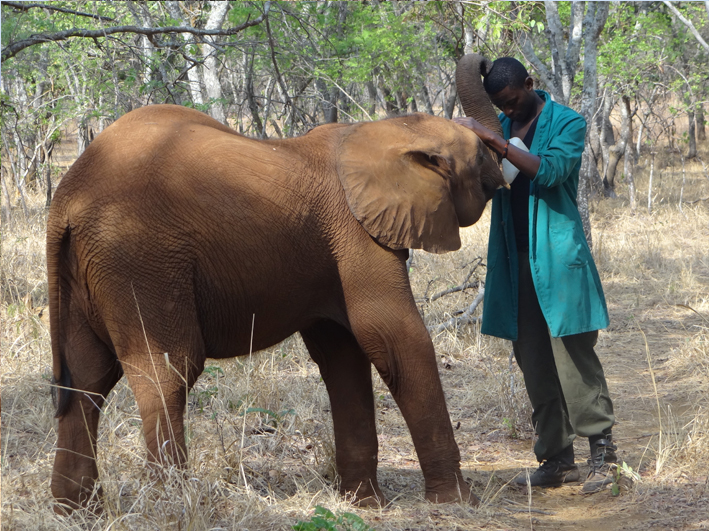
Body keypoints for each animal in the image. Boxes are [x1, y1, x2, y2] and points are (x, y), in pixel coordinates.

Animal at [48, 55, 504, 516]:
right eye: (480, 157)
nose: (487, 64)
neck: (382, 130)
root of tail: (67, 199)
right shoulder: (357, 236)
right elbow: (393, 336)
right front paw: (456, 502)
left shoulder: (330, 250)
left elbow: (343, 353)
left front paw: (364, 504)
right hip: (141, 258)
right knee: (166, 372)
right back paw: (173, 504)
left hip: (91, 270)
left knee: (86, 379)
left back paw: (77, 511)